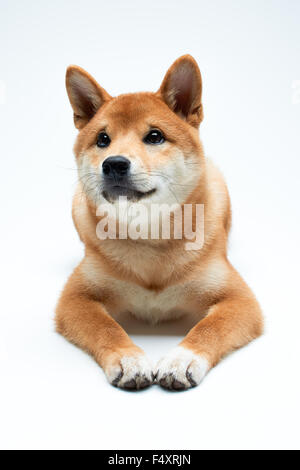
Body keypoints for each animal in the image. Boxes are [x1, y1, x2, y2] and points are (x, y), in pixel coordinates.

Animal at [55, 55, 262, 392]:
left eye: (155, 136)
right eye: (102, 139)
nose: (113, 164)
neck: (149, 239)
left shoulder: (239, 300)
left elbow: (209, 328)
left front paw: (182, 359)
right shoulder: (76, 297)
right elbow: (106, 328)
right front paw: (128, 358)